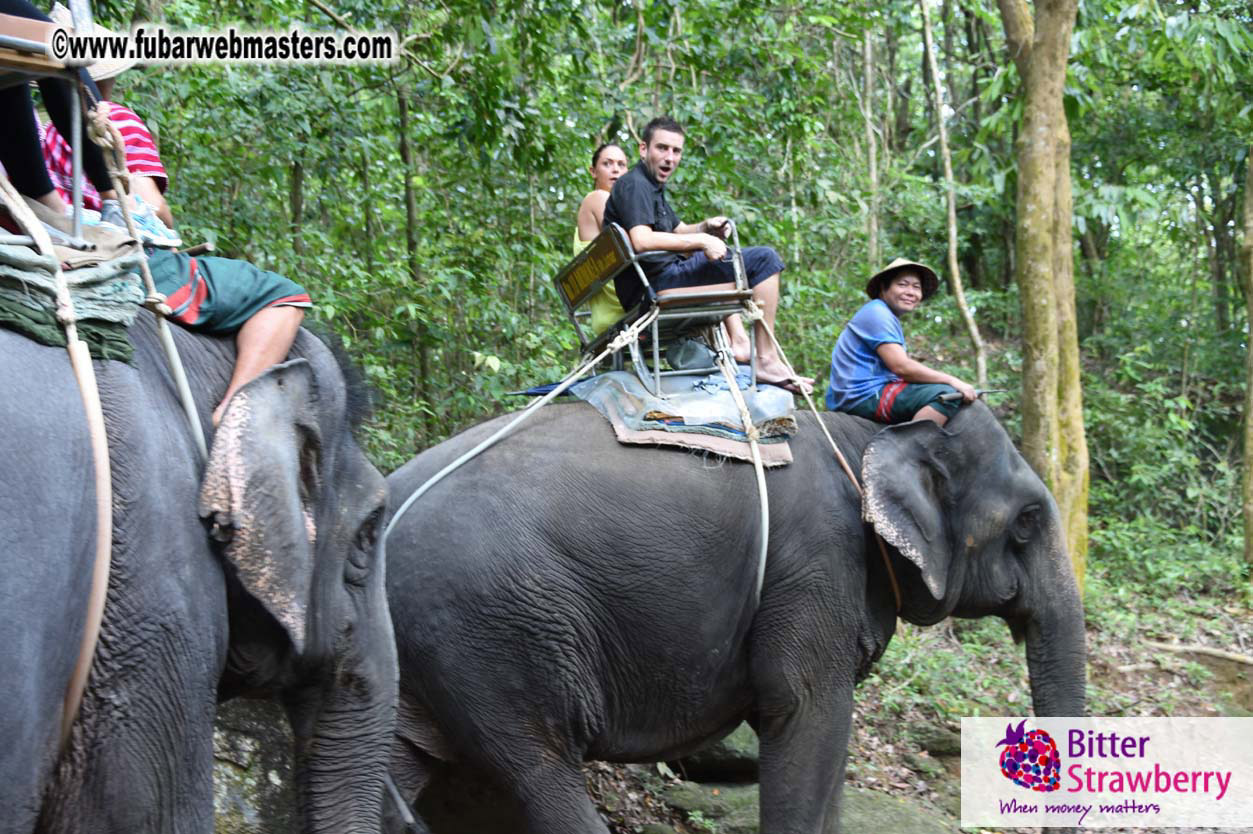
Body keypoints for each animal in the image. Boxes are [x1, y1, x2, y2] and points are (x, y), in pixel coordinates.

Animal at [382, 400, 1086, 833]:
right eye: (1027, 522)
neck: (866, 436)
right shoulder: (815, 564)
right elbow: (806, 713)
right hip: (492, 633)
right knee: (540, 768)